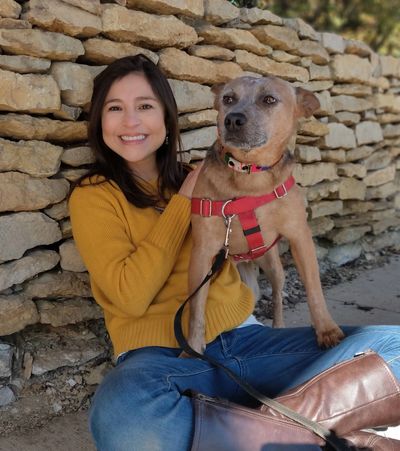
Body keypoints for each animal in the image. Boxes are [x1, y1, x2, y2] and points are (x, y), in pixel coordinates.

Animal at [186, 76, 346, 354]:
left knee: (277, 298)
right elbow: (196, 308)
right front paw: (192, 349)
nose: (233, 120)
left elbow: (314, 289)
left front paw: (326, 329)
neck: (250, 175)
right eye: (228, 98)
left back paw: (278, 327)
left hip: (273, 265)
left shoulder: (300, 237)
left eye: (269, 99)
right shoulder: (203, 253)